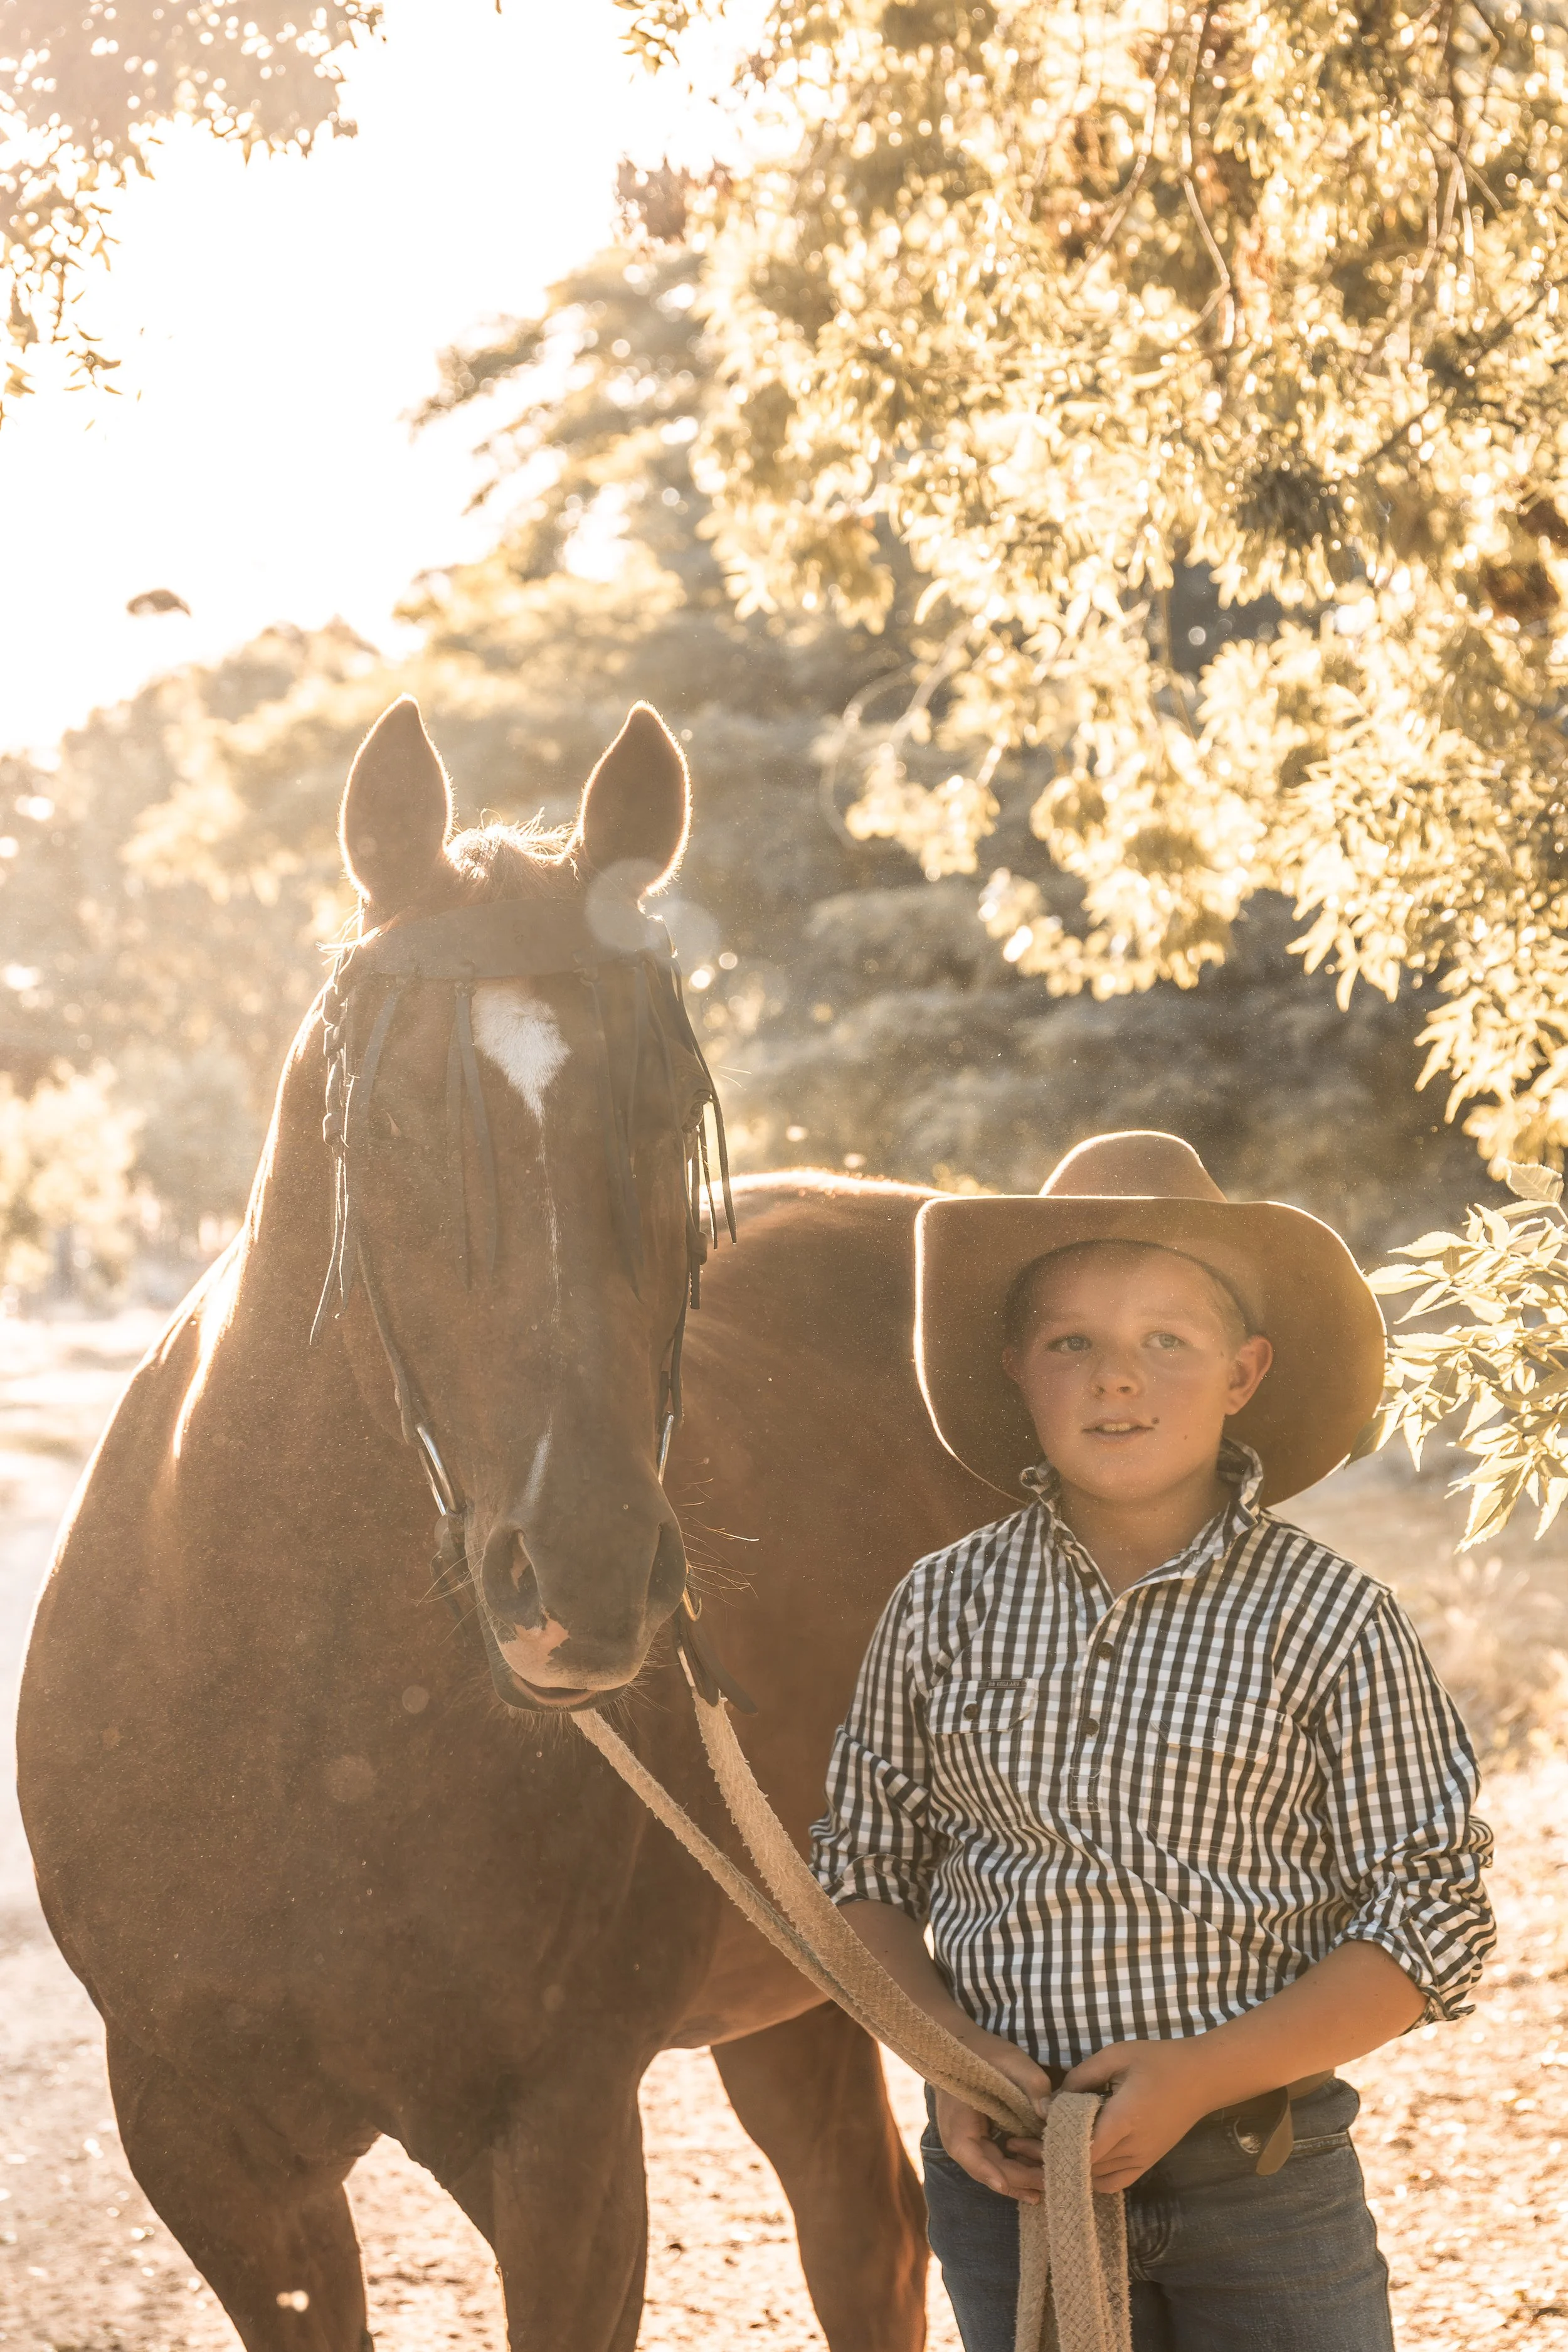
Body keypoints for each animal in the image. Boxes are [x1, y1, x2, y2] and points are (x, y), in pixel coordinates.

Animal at [18, 697, 996, 2352]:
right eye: (399, 1117)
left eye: (664, 1114)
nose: (585, 1575)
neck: (287, 1724)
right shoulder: (209, 2149)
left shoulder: (562, 2147)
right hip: (802, 1986)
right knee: (863, 2228)